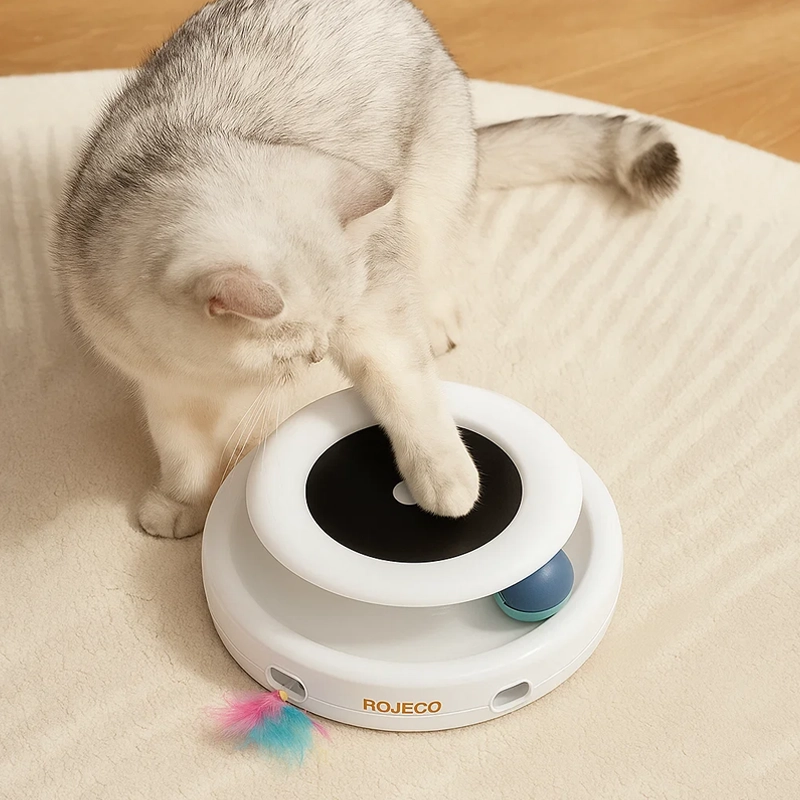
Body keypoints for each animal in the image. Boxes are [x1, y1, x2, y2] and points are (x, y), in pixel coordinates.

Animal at [52, 0, 679, 539]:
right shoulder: (164, 389)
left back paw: (435, 318)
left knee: (435, 260)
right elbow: (184, 458)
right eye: (292, 347)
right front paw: (182, 505)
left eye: (326, 333)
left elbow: (407, 394)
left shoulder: (374, 311)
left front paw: (447, 480)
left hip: (427, 197)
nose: (318, 354)